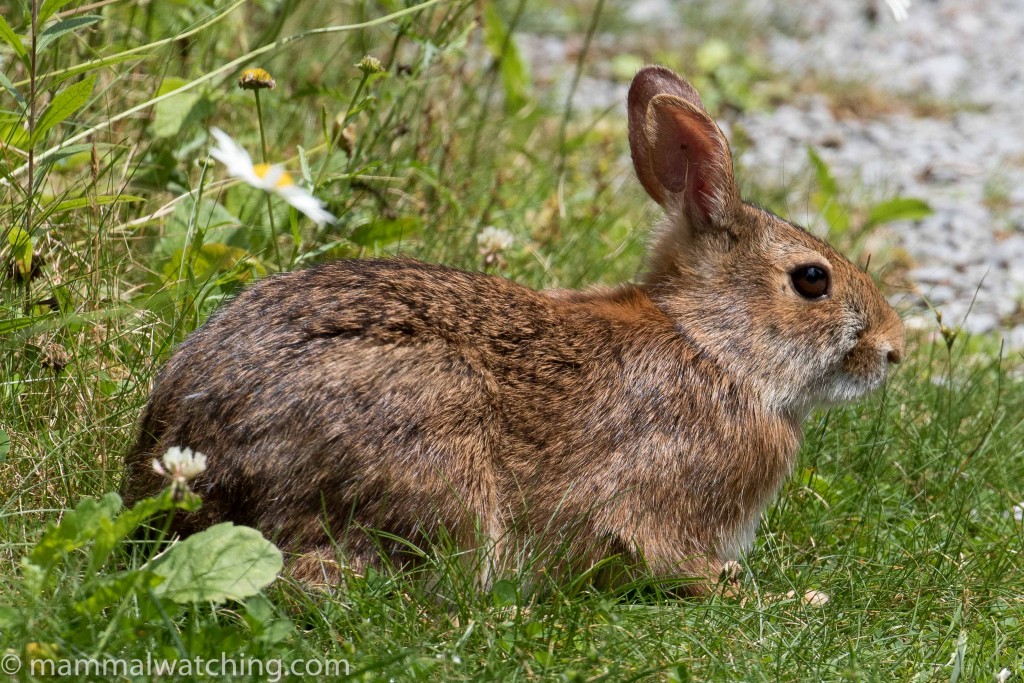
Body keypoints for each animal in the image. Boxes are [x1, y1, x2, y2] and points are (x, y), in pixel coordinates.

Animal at [123, 66, 909, 593]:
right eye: (812, 280)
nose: (894, 349)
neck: (712, 345)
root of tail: (185, 464)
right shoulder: (661, 504)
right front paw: (771, 594)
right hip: (432, 445)